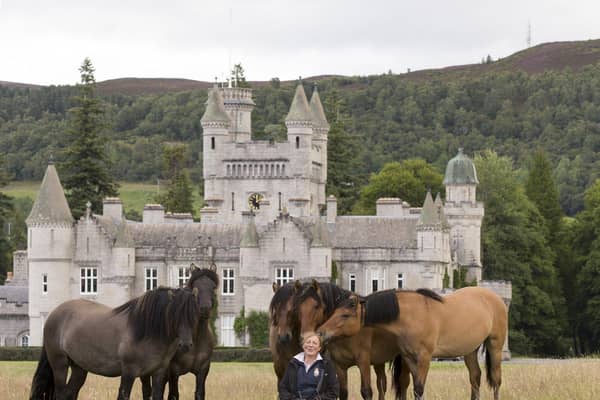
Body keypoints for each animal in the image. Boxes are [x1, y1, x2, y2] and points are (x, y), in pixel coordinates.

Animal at [30, 286, 200, 398]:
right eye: (174, 315)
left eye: (194, 314)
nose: (186, 345)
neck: (146, 331)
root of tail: (53, 314)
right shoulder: (129, 372)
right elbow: (123, 395)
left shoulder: (158, 373)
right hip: (59, 364)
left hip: (79, 368)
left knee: (69, 393)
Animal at [316, 286, 508, 400]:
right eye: (334, 311)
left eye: (345, 315)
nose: (321, 332)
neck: (413, 315)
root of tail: (495, 297)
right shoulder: (409, 358)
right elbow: (413, 386)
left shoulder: (424, 358)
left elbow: (419, 389)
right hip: (470, 350)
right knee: (475, 377)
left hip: (495, 346)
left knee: (496, 380)